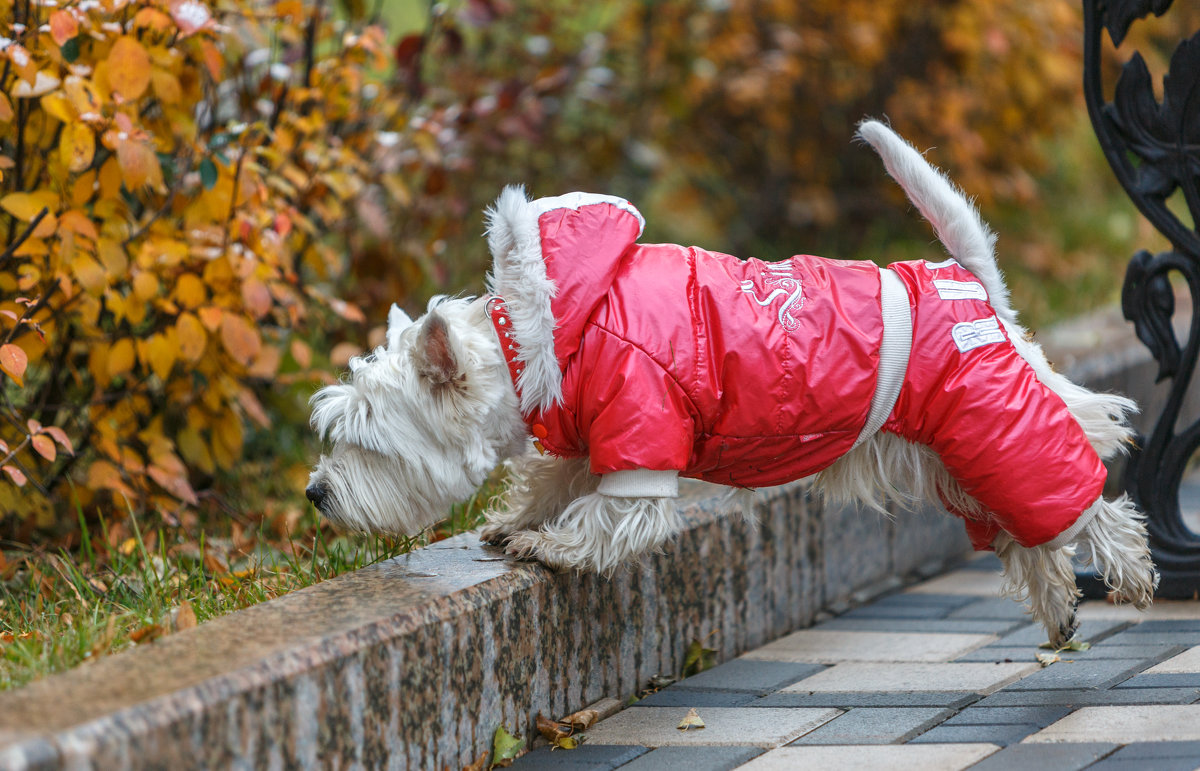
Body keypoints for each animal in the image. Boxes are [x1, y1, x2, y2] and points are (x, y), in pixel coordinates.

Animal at [307, 123, 1152, 643]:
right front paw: (516, 521)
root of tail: (969, 281)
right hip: (954, 454)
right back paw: (1057, 604)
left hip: (995, 421)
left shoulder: (641, 437)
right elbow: (552, 477)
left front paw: (548, 543)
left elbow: (605, 520)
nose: (315, 493)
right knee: (1024, 530)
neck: (533, 339)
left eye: (365, 441)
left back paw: (1131, 572)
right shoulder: (586, 434)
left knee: (1083, 492)